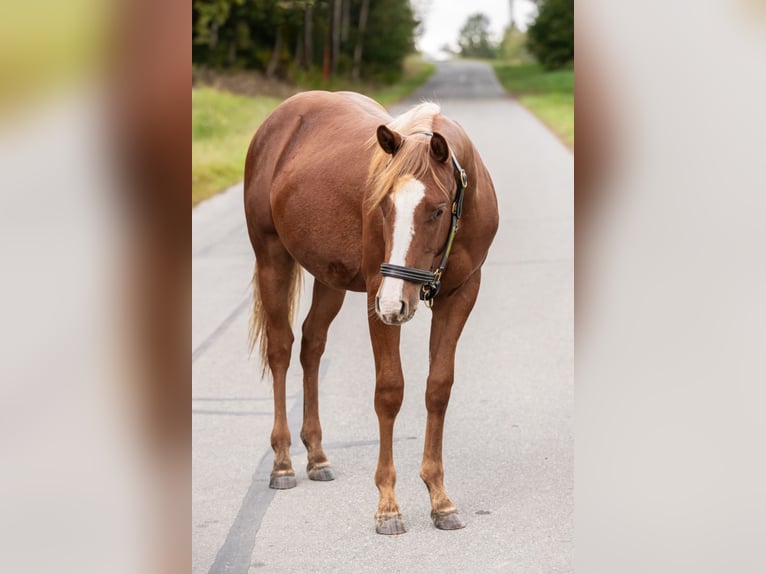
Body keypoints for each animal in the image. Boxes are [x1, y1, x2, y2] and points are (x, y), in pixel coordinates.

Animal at [243, 90, 500, 536]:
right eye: (383, 205)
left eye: (436, 210)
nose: (396, 303)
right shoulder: (378, 301)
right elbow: (389, 392)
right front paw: (388, 505)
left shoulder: (460, 295)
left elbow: (438, 388)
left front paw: (440, 498)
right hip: (272, 259)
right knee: (280, 350)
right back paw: (283, 462)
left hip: (330, 279)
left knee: (311, 345)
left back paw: (317, 456)